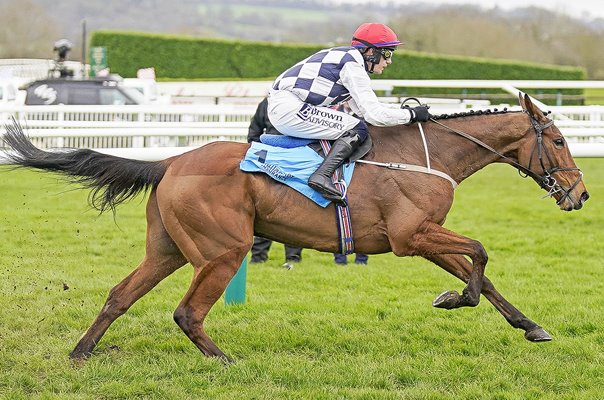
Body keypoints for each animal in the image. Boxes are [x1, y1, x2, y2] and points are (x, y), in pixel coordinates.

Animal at [1, 94, 584, 362]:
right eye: (557, 141)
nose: (579, 194)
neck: (428, 155)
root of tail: (169, 162)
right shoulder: (411, 237)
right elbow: (480, 254)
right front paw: (454, 299)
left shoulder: (423, 236)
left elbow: (481, 275)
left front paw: (527, 324)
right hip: (223, 250)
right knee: (187, 311)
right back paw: (223, 360)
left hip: (166, 249)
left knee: (120, 295)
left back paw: (81, 353)